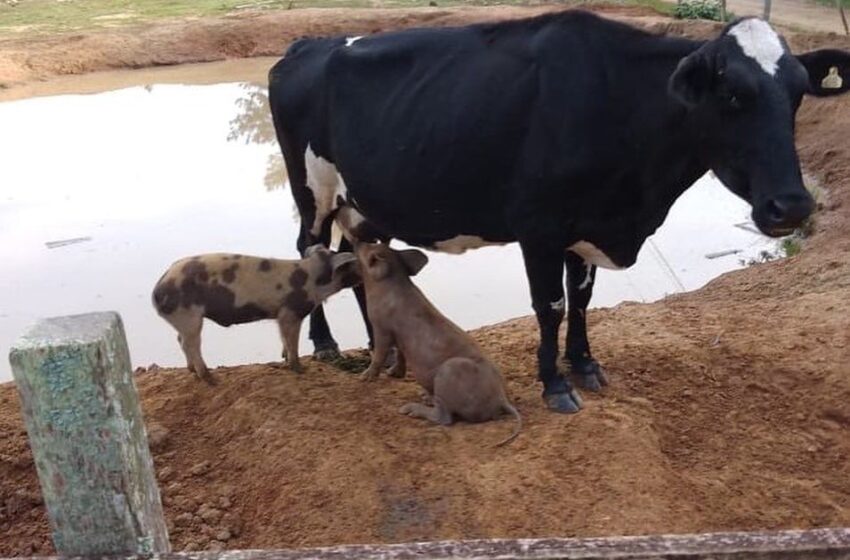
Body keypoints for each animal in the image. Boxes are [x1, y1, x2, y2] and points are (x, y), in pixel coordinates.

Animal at [270, 10, 848, 414]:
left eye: (798, 94)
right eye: (730, 94)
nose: (791, 205)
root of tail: (308, 44)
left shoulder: (586, 225)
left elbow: (584, 298)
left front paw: (586, 364)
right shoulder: (540, 227)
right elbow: (550, 304)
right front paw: (555, 384)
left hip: (365, 202)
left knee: (358, 257)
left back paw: (376, 343)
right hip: (313, 190)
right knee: (312, 251)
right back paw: (326, 344)